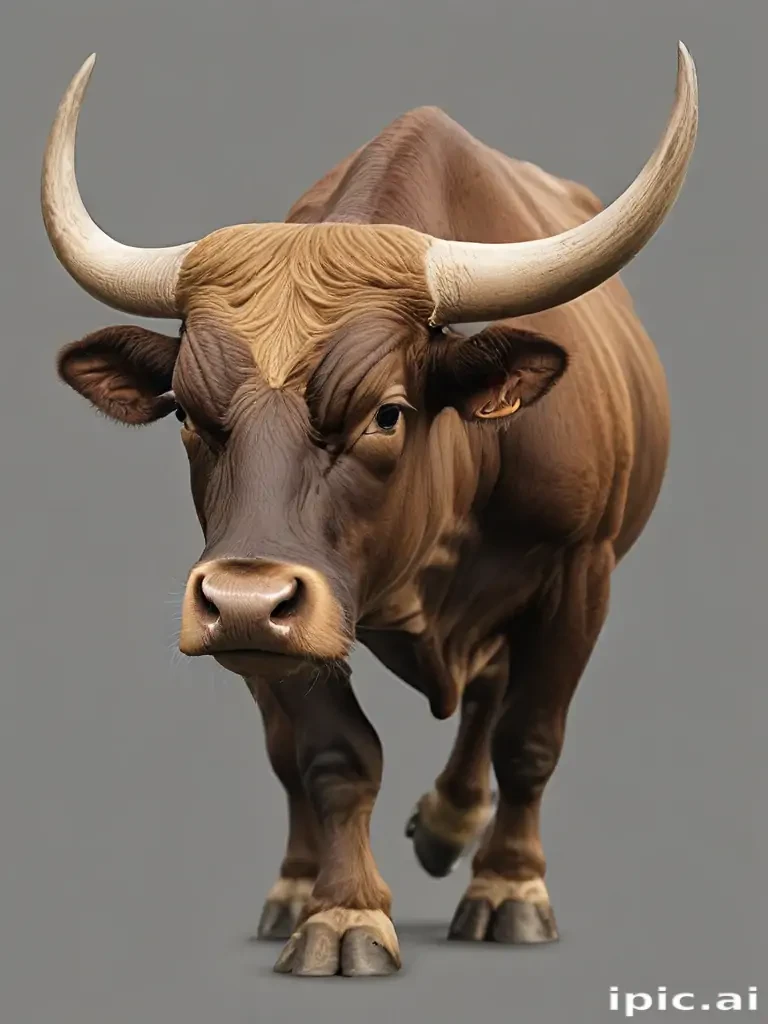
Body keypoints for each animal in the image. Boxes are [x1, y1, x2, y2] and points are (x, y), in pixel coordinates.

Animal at [41, 46, 698, 978]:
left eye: (387, 413)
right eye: (188, 415)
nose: (242, 600)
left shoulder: (581, 571)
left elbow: (529, 737)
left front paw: (509, 888)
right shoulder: (290, 611)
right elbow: (331, 755)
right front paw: (342, 912)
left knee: (489, 698)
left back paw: (452, 825)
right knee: (290, 757)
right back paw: (296, 885)